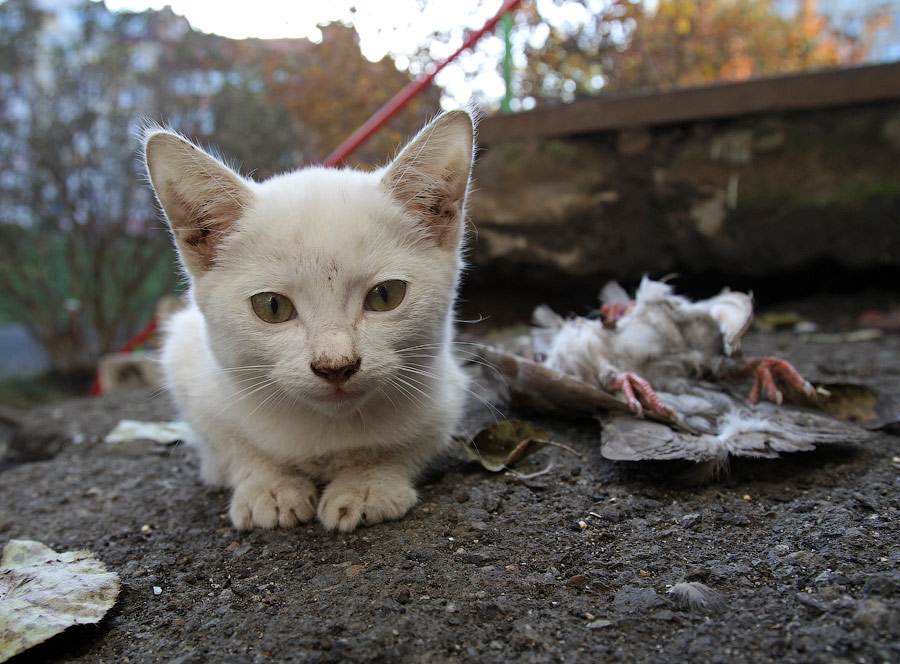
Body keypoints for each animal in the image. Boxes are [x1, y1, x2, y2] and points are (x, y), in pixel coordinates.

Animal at [144, 111, 474, 532]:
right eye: (272, 307)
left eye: (386, 295)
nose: (336, 366)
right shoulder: (187, 367)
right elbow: (233, 444)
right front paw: (269, 486)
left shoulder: (447, 392)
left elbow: (411, 444)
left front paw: (367, 483)